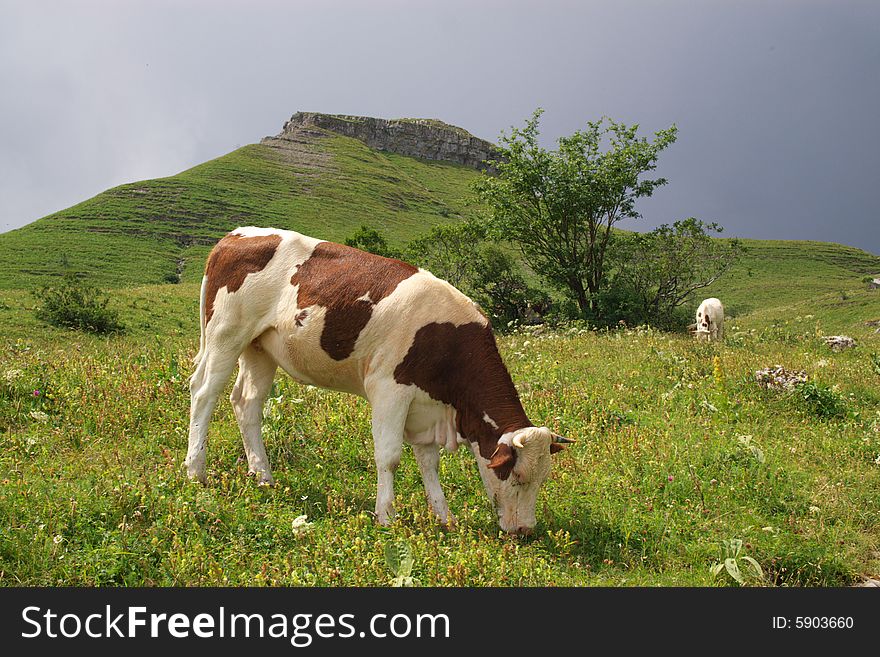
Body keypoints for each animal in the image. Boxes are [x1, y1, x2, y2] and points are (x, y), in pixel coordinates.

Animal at [186, 226, 572, 532]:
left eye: (544, 478)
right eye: (517, 476)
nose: (525, 530)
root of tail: (237, 235)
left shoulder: (426, 406)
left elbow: (429, 464)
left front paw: (444, 517)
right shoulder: (390, 390)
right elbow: (389, 457)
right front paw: (386, 516)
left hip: (260, 349)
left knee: (246, 404)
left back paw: (263, 476)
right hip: (226, 334)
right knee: (204, 393)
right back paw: (195, 472)